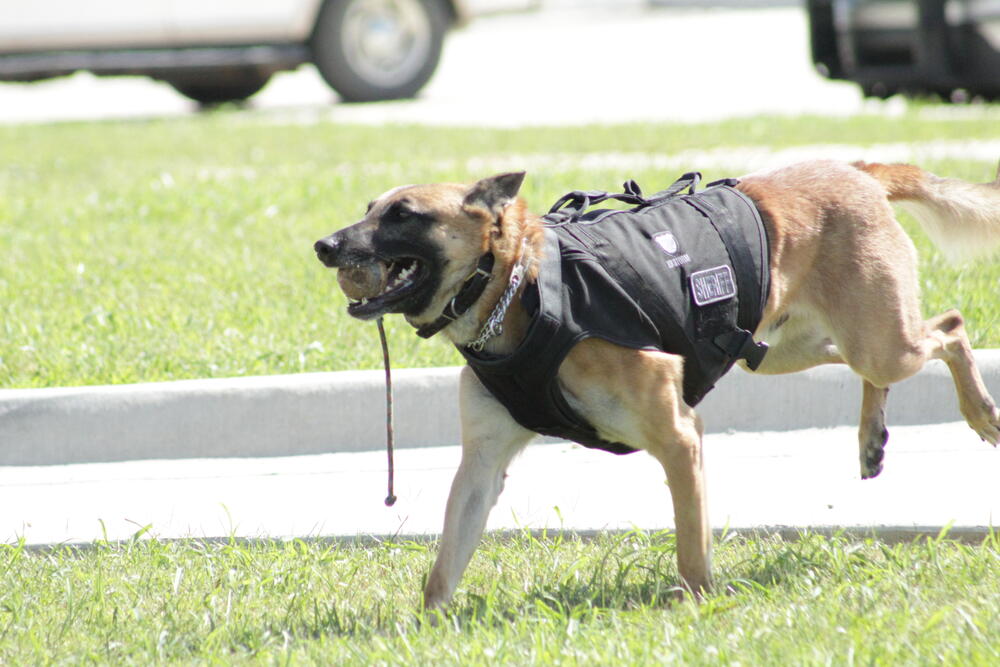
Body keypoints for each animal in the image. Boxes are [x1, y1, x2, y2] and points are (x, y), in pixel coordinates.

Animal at [312, 162, 1000, 612]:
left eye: (403, 215)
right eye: (369, 209)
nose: (324, 245)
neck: (522, 289)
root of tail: (855, 169)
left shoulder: (678, 437)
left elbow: (692, 549)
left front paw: (700, 607)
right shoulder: (481, 465)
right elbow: (444, 565)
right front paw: (426, 628)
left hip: (877, 340)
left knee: (949, 329)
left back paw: (980, 413)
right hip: (787, 349)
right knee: (883, 363)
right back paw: (870, 436)